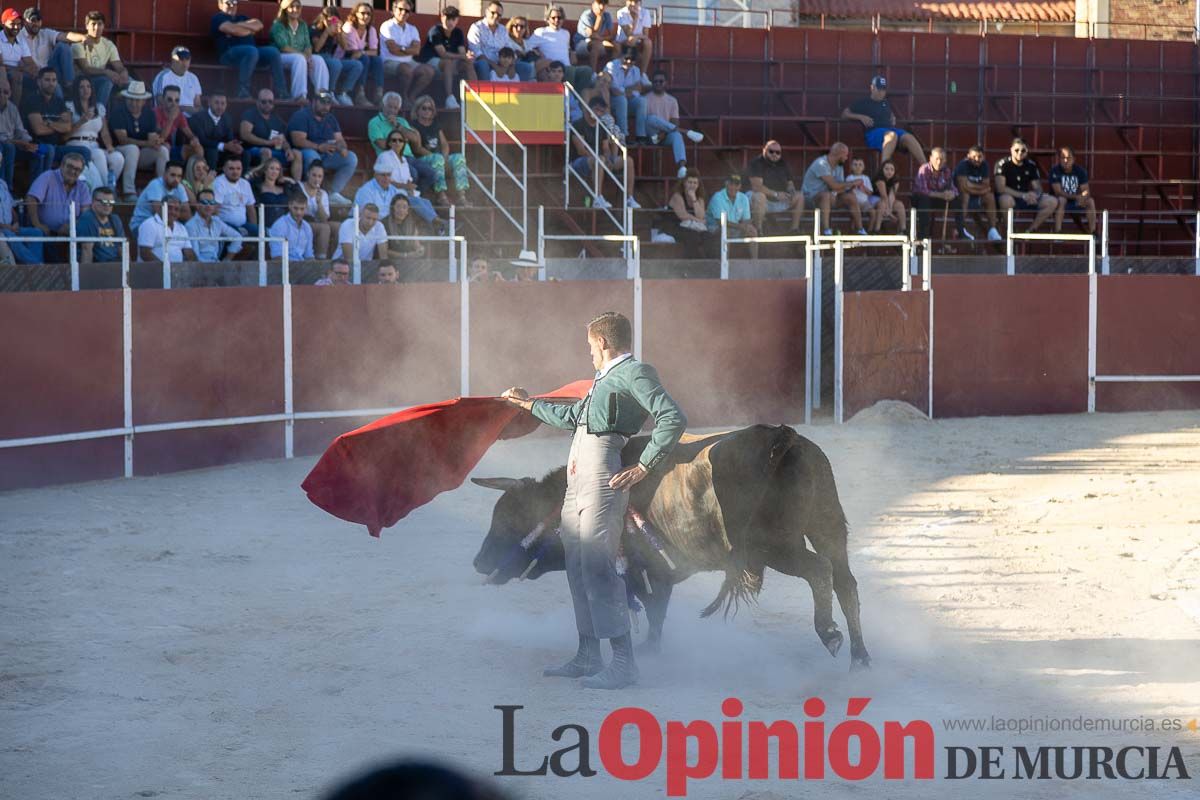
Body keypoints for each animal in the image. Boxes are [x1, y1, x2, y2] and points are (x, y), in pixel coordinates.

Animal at [470, 424, 873, 671]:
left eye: (507, 521)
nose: (478, 562)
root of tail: (781, 438)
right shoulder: (655, 575)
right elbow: (656, 612)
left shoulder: (643, 572)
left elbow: (652, 611)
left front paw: (647, 651)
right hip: (828, 527)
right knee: (845, 582)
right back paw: (860, 656)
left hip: (776, 545)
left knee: (819, 570)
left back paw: (830, 634)